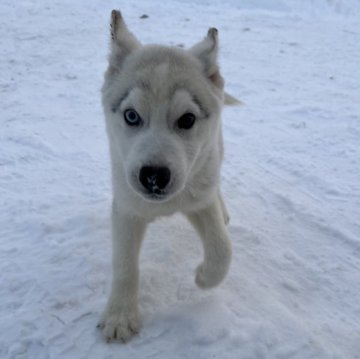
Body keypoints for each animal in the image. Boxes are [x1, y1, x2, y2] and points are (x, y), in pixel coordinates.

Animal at [97, 9, 233, 344]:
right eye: (131, 116)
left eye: (187, 119)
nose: (154, 177)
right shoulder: (127, 207)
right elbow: (124, 265)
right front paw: (120, 317)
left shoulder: (200, 200)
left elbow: (222, 248)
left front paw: (204, 277)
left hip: (215, 152)